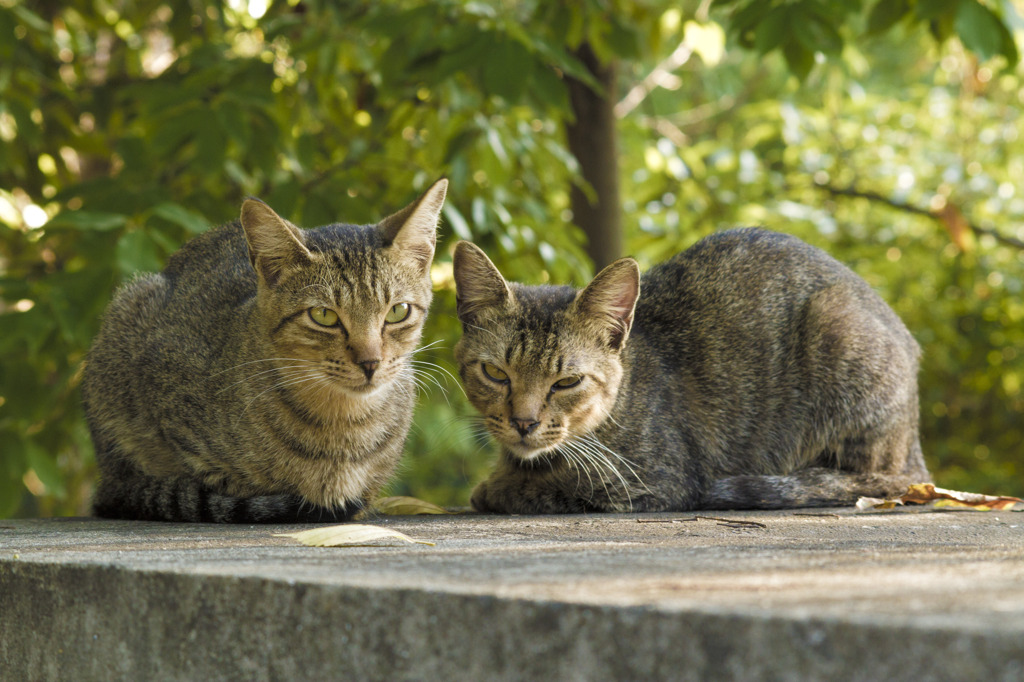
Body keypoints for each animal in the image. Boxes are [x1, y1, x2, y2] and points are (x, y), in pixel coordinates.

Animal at [452, 225, 933, 512]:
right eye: (496, 374)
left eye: (567, 381)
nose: (524, 422)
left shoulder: (655, 482)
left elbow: (550, 488)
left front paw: (497, 487)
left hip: (837, 330)